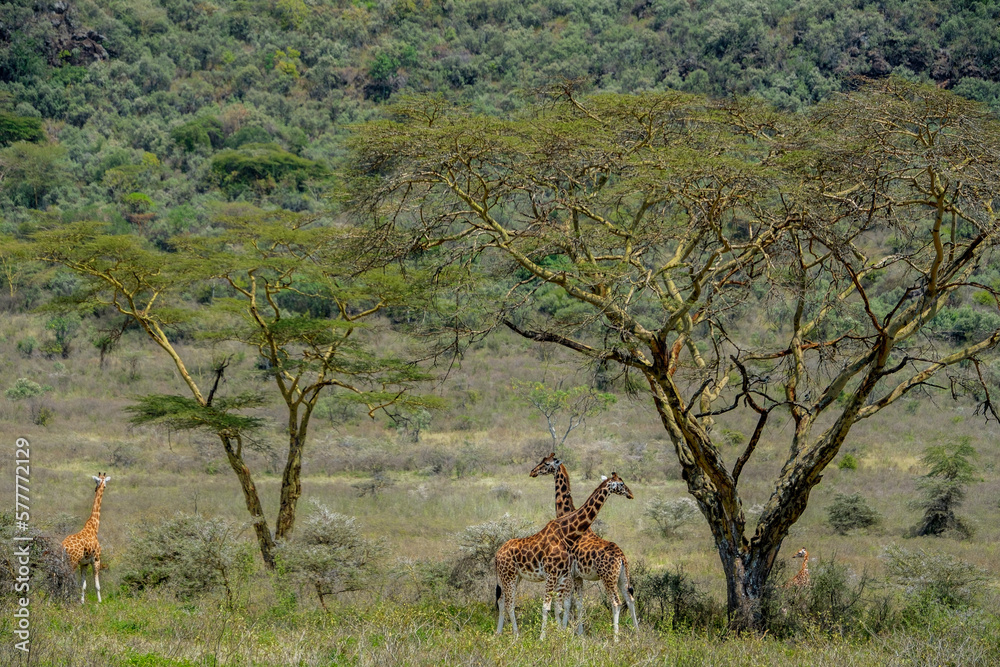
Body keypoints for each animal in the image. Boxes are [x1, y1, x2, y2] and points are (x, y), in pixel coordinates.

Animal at [61, 472, 110, 603]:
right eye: (104, 484)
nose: (103, 487)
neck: (94, 527)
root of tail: (63, 547)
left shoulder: (84, 563)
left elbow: (83, 585)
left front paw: (82, 602)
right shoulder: (96, 560)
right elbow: (97, 585)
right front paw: (100, 602)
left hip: (64, 561)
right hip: (72, 562)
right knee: (66, 579)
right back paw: (64, 601)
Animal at [495, 472, 633, 639]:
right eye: (622, 483)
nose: (631, 494)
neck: (567, 534)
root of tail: (497, 555)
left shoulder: (562, 576)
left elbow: (559, 606)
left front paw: (561, 634)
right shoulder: (553, 574)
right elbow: (548, 606)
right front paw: (543, 638)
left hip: (514, 577)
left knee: (502, 600)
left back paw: (499, 632)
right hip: (509, 575)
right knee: (509, 603)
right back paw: (515, 635)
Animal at [530, 453, 639, 639]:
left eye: (546, 463)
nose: (533, 472)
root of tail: (622, 558)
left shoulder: (569, 574)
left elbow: (566, 603)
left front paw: (565, 631)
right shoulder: (578, 576)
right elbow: (579, 603)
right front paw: (578, 633)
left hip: (608, 578)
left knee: (616, 603)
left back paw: (616, 638)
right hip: (623, 577)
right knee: (630, 599)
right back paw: (638, 634)